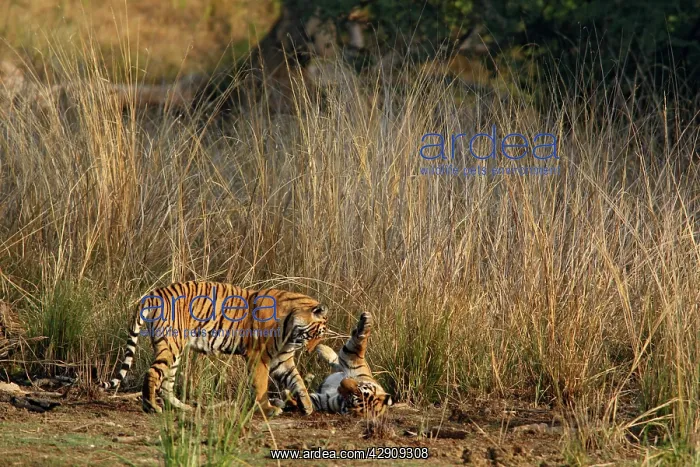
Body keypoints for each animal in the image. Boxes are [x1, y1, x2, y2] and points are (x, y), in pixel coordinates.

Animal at [101, 281, 328, 417]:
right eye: (315, 335)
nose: (310, 352)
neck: (290, 330)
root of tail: (154, 294)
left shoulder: (282, 359)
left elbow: (297, 380)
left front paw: (308, 405)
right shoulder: (259, 356)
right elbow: (261, 384)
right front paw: (268, 408)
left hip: (175, 350)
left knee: (166, 383)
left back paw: (183, 407)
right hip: (171, 346)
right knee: (152, 373)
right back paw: (152, 407)